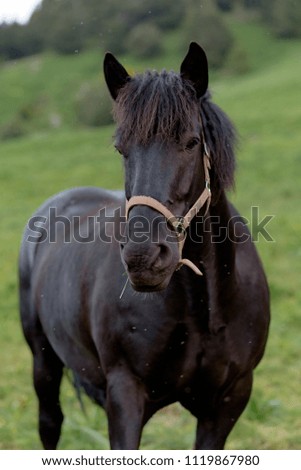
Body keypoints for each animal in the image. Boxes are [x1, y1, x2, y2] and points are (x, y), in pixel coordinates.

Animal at [18, 45, 268, 452]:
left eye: (192, 142)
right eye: (122, 149)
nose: (144, 258)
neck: (203, 308)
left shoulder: (228, 401)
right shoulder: (125, 394)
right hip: (43, 361)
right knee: (50, 422)